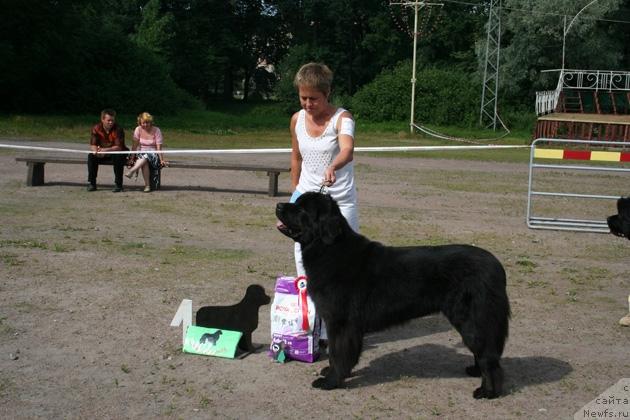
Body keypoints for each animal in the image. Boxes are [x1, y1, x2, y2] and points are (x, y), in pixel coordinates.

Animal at [276, 192, 512, 398]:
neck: (328, 249)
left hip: (473, 319)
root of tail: (497, 266)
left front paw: (330, 381)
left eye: (302, 208)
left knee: (489, 357)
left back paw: (487, 391)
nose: (278, 206)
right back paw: (475, 372)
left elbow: (338, 352)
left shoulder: (341, 323)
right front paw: (331, 372)